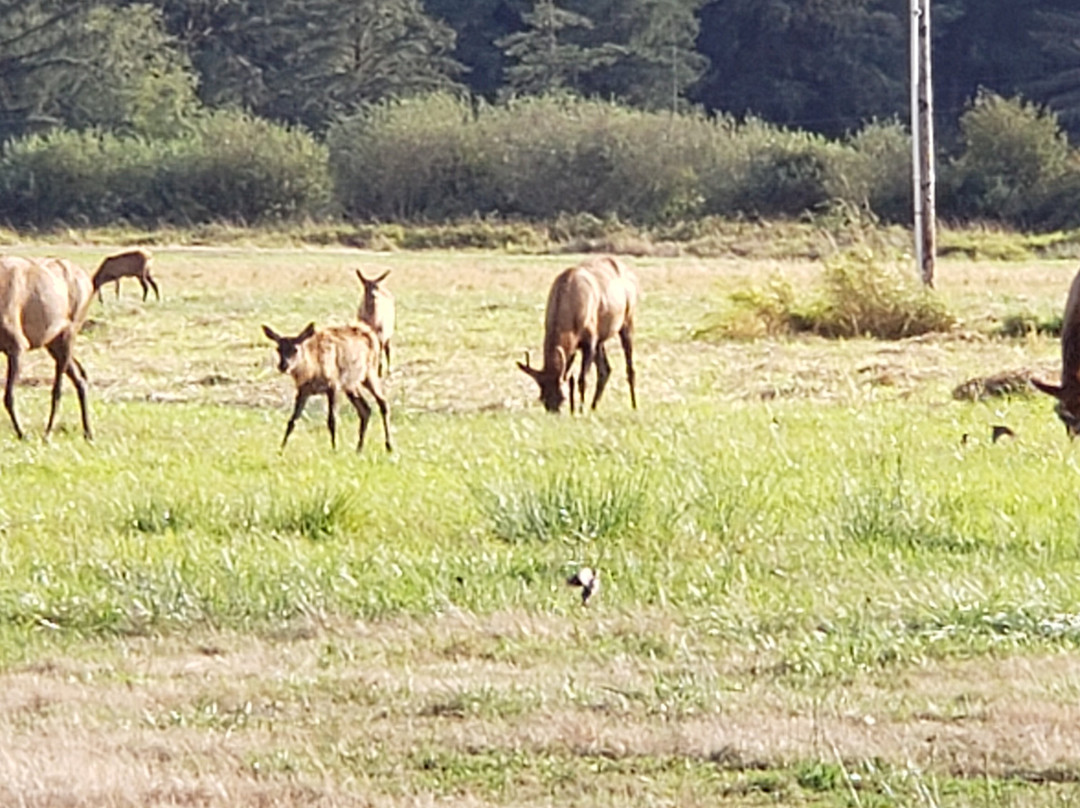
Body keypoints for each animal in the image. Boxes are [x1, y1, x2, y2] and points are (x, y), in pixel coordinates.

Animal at [0, 256, 93, 438]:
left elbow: (8, 397)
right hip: (53, 343)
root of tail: (89, 282)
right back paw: (88, 433)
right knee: (80, 380)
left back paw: (48, 432)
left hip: (68, 334)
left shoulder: (17, 345)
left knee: (58, 389)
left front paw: (22, 434)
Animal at [262, 319, 393, 453]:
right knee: (365, 409)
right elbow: (292, 421)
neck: (312, 371)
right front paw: (281, 450)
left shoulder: (333, 385)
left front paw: (335, 449)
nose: (283, 366)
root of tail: (369, 333)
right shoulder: (303, 391)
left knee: (383, 403)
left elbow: (332, 420)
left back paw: (389, 446)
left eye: (295, 349)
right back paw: (359, 448)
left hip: (369, 372)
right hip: (350, 384)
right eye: (278, 349)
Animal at [518, 256, 635, 412]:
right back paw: (593, 406)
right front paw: (575, 410)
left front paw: (580, 410)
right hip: (601, 339)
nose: (555, 412)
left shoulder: (590, 341)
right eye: (542, 399)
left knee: (629, 367)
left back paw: (634, 405)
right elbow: (570, 377)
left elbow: (581, 380)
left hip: (627, 321)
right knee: (605, 370)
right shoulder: (576, 344)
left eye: (562, 398)